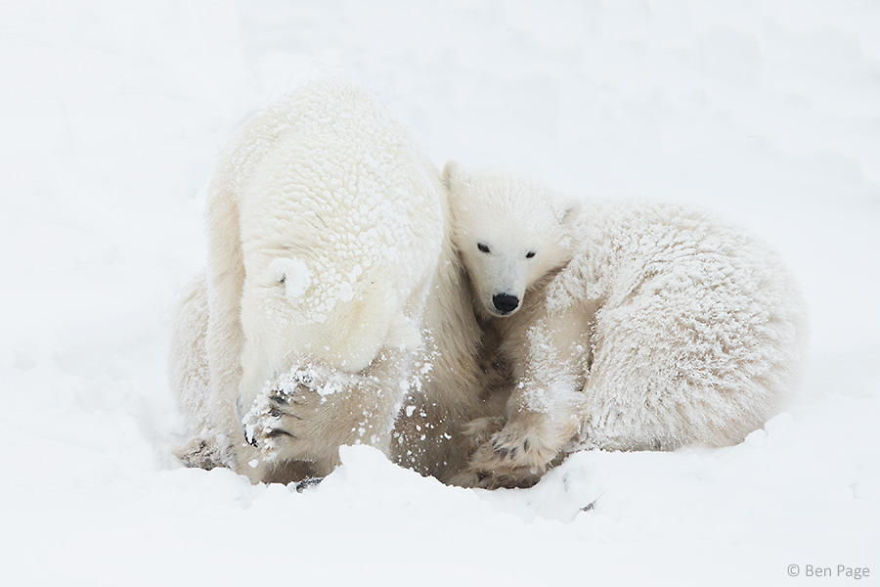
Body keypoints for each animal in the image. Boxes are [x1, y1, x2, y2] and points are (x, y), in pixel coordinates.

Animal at [170, 84, 502, 485]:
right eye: (276, 360)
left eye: (313, 375)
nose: (252, 431)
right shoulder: (232, 200)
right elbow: (226, 331)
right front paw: (250, 459)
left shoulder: (415, 284)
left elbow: (382, 385)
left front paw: (296, 424)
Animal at [443, 164, 807, 488]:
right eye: (483, 246)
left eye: (529, 252)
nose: (505, 299)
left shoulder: (564, 289)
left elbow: (550, 351)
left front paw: (517, 437)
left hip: (684, 322)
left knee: (626, 389)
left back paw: (492, 450)